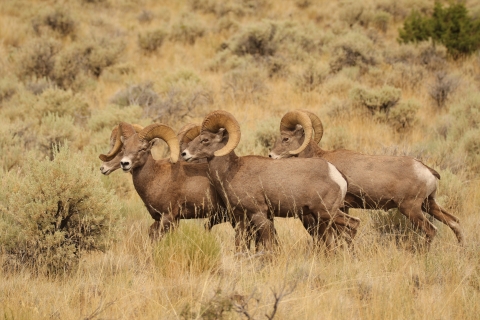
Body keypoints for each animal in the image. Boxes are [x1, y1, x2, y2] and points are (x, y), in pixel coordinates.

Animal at [98, 122, 228, 238]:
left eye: (143, 148)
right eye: (124, 147)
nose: (125, 163)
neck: (155, 177)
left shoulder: (168, 217)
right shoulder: (161, 218)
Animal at [181, 111, 360, 251]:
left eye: (205, 139)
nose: (184, 154)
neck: (232, 171)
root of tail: (337, 175)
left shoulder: (259, 214)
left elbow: (268, 244)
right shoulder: (240, 218)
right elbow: (240, 245)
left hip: (326, 212)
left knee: (353, 225)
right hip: (324, 216)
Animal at [268, 110, 464, 245]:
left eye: (285, 139)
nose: (270, 156)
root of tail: (426, 170)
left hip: (411, 209)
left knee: (431, 230)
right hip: (429, 204)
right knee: (455, 223)